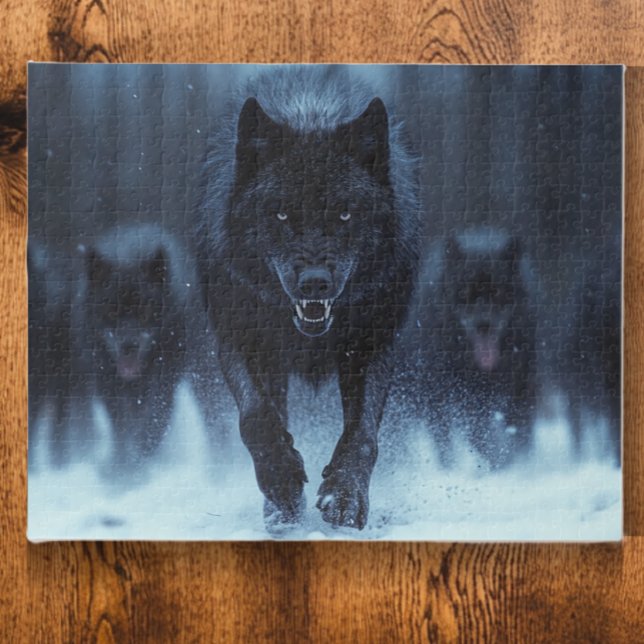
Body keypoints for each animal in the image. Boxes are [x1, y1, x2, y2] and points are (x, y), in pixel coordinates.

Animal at [197, 67, 420, 530]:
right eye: (281, 213)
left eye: (345, 213)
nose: (315, 282)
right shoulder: (242, 341)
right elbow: (256, 419)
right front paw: (282, 486)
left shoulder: (371, 346)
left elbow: (363, 434)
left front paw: (344, 497)